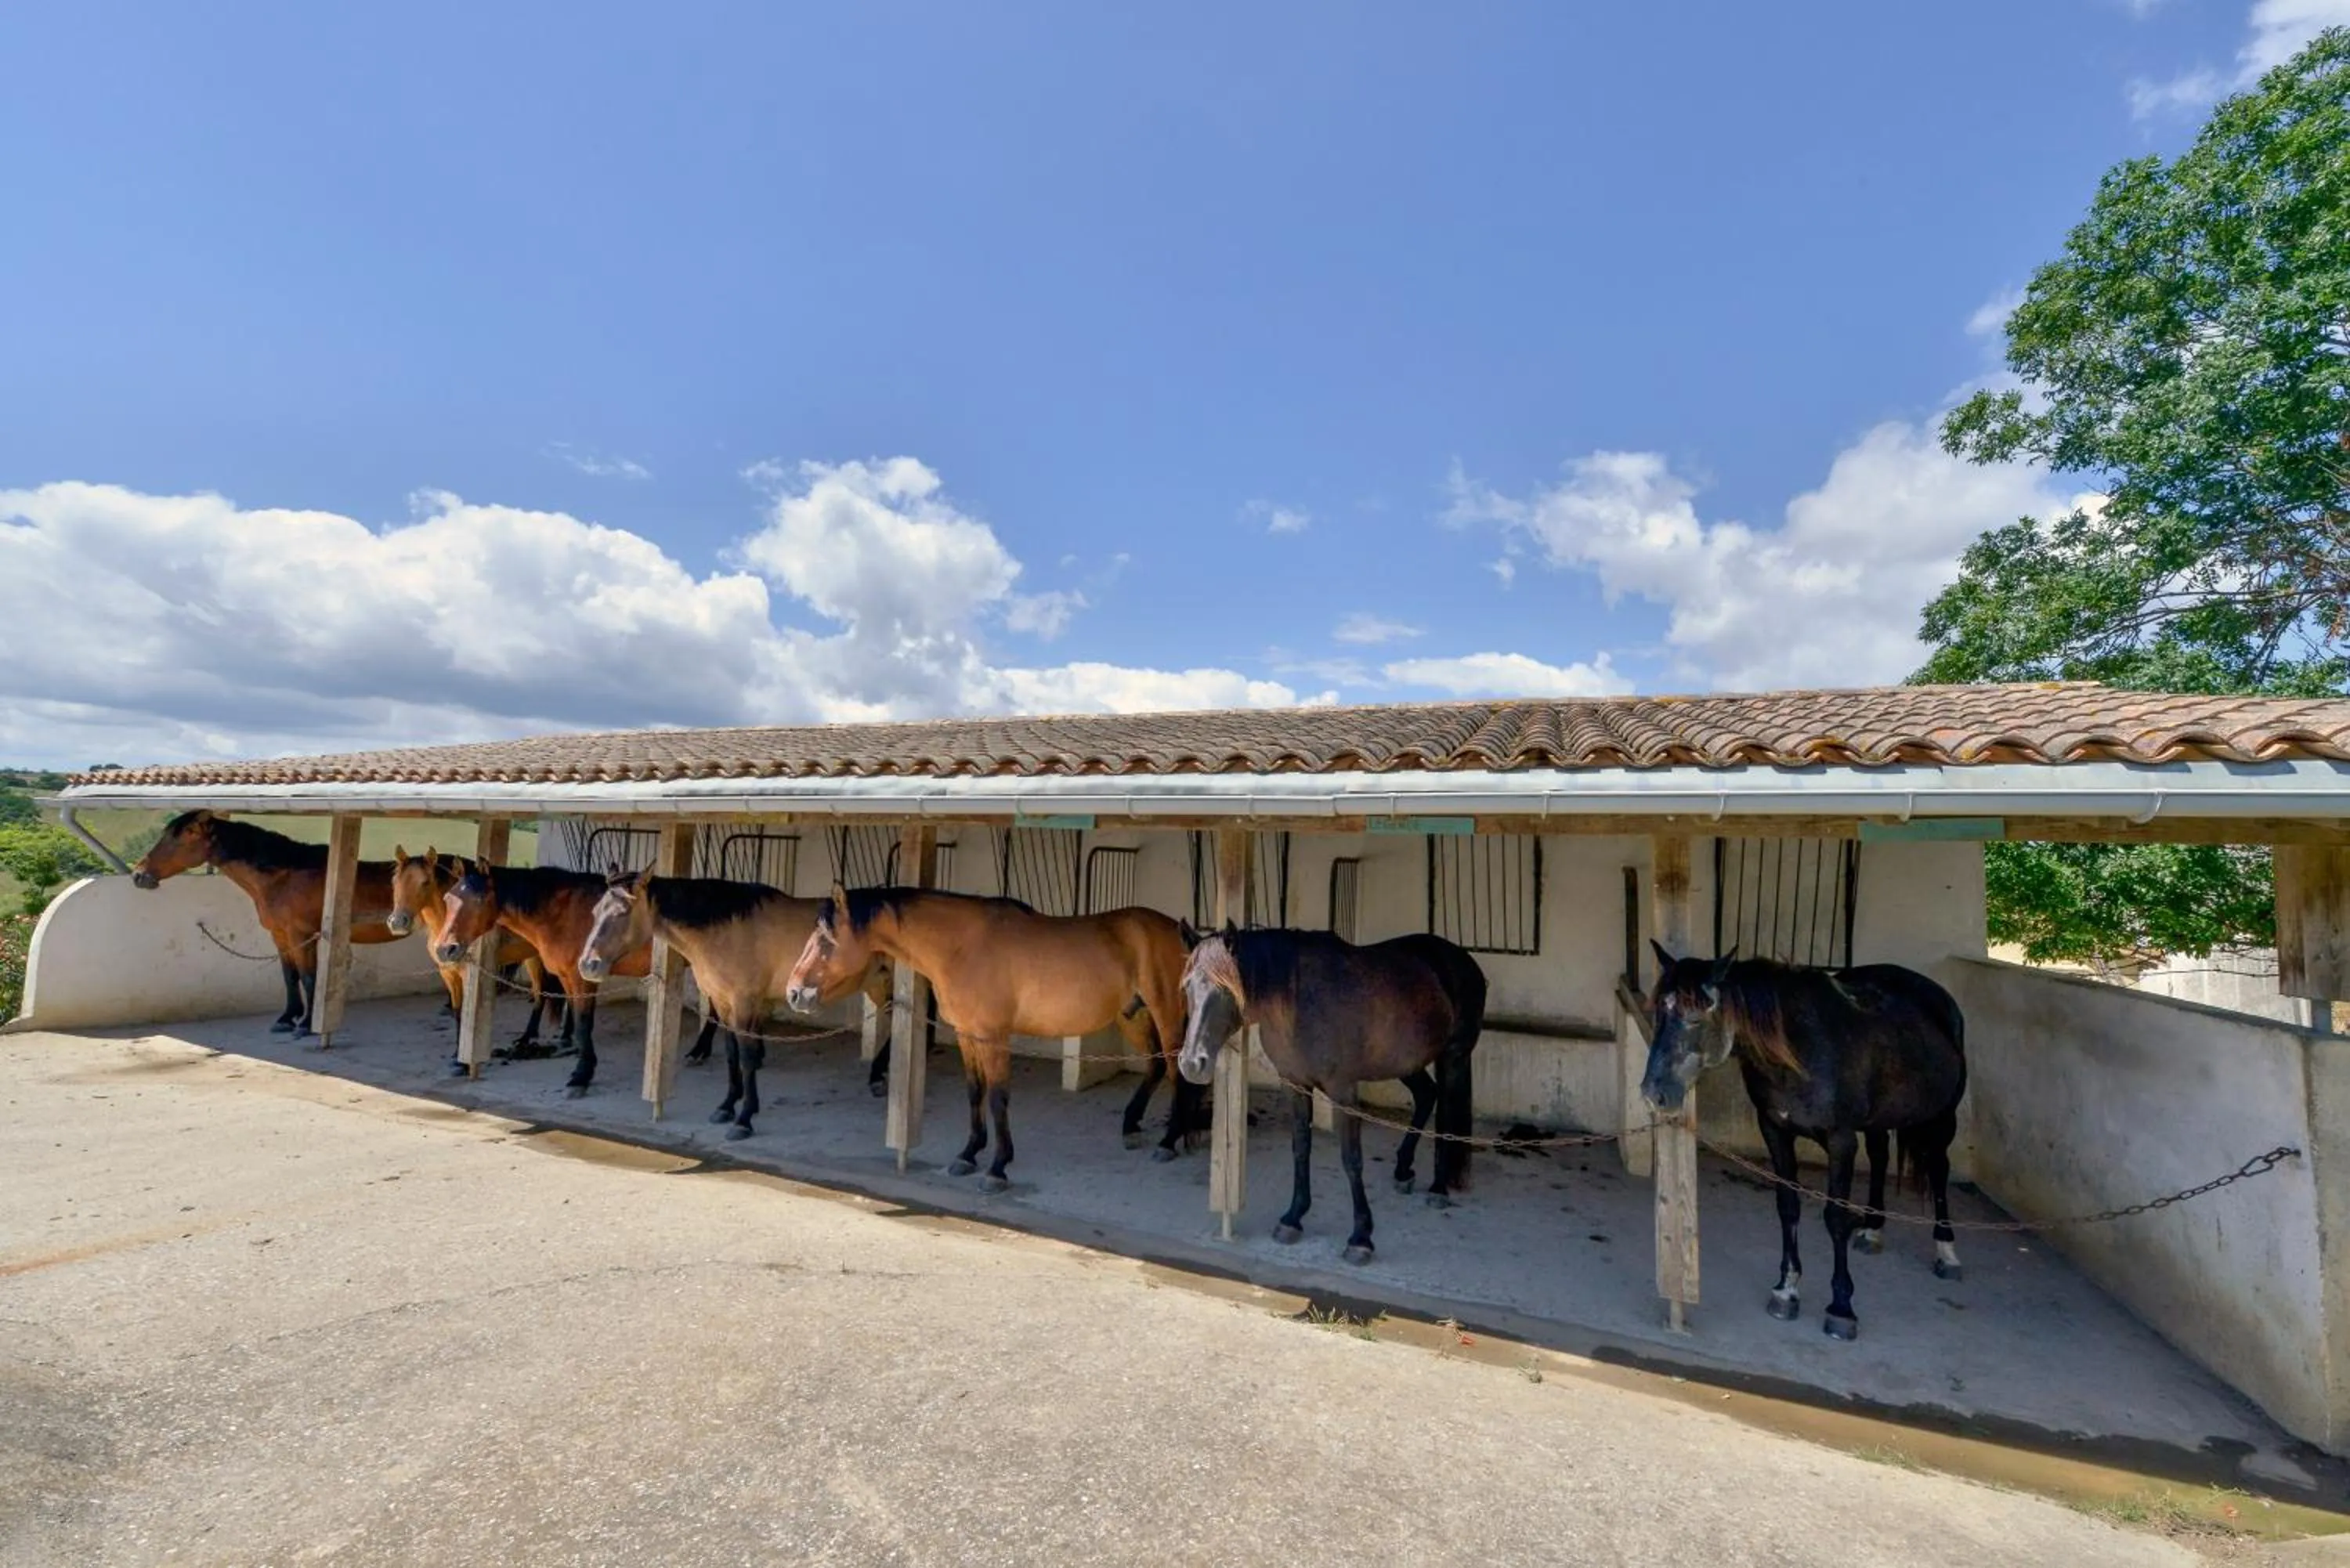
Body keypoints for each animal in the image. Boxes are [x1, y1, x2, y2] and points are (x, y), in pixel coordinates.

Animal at [130, 809, 405, 1039]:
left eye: (186, 835)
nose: (139, 875)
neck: (285, 879)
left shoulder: (301, 935)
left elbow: (308, 977)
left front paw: (306, 1025)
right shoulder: (280, 935)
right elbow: (290, 976)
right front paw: (287, 1019)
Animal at [387, 848, 567, 1060]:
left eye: (425, 882)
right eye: (395, 880)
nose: (398, 922)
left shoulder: (470, 974)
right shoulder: (448, 973)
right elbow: (458, 1012)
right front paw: (457, 1052)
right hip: (533, 957)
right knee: (540, 993)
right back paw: (527, 1038)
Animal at [785, 885, 1192, 1189]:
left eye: (826, 939)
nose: (794, 993)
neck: (961, 947)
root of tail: (1179, 931)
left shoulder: (994, 1036)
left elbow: (997, 1097)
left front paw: (997, 1167)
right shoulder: (969, 1034)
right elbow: (975, 1092)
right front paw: (967, 1155)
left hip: (1167, 1014)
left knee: (1176, 1072)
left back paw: (1169, 1141)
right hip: (1132, 1016)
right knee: (1156, 1067)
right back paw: (1132, 1127)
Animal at [1175, 926, 1485, 1264]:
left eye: (1225, 988)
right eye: (1188, 986)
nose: (1192, 1063)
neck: (1298, 1000)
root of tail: (1463, 960)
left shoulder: (1344, 1090)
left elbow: (1351, 1159)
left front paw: (1361, 1238)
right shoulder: (1295, 1086)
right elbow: (1301, 1148)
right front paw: (1293, 1218)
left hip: (1453, 1058)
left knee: (1447, 1117)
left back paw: (1439, 1188)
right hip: (1406, 1063)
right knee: (1428, 1096)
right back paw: (1403, 1171)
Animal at [1639, 945, 1967, 1343]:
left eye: (1695, 1018)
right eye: (1660, 1010)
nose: (1654, 1094)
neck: (1799, 1049)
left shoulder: (1841, 1141)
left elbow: (1835, 1217)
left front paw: (1841, 1308)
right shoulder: (1775, 1131)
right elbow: (1788, 1206)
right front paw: (1786, 1290)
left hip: (1943, 1117)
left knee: (1938, 1168)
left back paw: (1947, 1252)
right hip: (1878, 1121)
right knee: (1879, 1157)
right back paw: (1873, 1230)